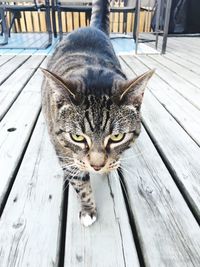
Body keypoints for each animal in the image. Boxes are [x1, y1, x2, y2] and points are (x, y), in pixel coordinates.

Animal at [40, 0, 153, 228]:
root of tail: (91, 28)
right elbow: (80, 184)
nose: (97, 165)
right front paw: (88, 209)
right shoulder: (66, 155)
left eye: (117, 136)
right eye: (77, 136)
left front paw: (110, 166)